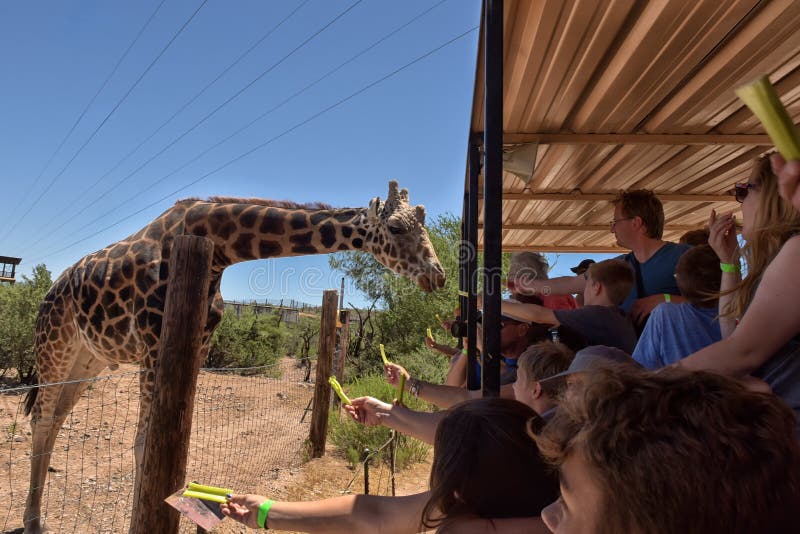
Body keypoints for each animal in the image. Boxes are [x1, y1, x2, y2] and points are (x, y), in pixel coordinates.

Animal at [23, 182, 444, 532]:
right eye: (396, 228)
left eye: (421, 226)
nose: (437, 275)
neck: (218, 248)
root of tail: (51, 289)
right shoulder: (152, 341)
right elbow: (144, 442)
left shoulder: (200, 344)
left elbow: (177, 438)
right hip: (53, 345)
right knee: (41, 419)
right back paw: (33, 523)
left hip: (87, 360)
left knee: (55, 419)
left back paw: (38, 517)